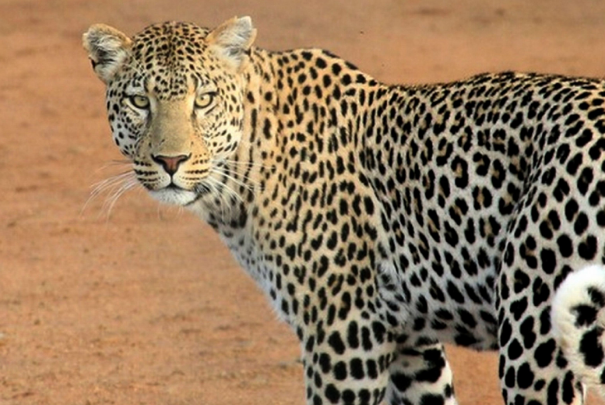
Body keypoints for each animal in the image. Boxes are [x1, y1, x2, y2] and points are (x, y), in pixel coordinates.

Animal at [85, 15, 605, 400]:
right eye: (139, 101)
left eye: (204, 100)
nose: (170, 161)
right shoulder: (409, 342)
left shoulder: (344, 334)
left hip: (533, 335)